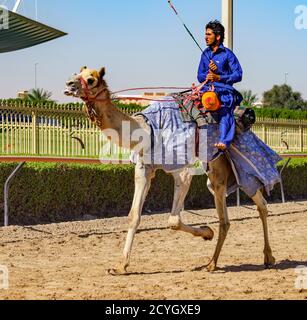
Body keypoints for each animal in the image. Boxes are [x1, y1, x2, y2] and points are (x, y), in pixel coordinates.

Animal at [64, 66, 276, 274]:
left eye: (91, 79)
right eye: (76, 73)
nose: (68, 84)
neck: (147, 129)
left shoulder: (183, 170)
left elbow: (173, 220)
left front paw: (207, 232)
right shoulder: (144, 168)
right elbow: (134, 216)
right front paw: (120, 267)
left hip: (230, 170)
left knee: (249, 208)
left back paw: (237, 261)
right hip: (224, 173)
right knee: (241, 211)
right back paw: (235, 260)